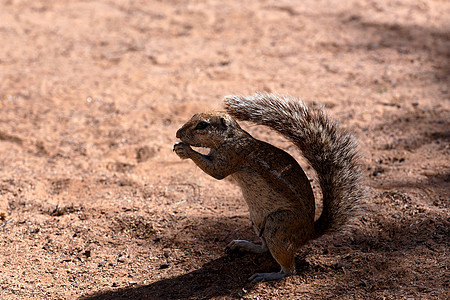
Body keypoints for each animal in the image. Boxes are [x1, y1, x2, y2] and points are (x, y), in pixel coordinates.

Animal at [174, 93, 364, 282]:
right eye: (194, 115)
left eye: (202, 125)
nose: (178, 133)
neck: (230, 138)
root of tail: (310, 231)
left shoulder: (231, 155)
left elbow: (216, 172)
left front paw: (185, 150)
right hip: (257, 221)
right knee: (264, 248)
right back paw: (242, 245)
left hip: (278, 226)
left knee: (289, 270)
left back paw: (266, 275)